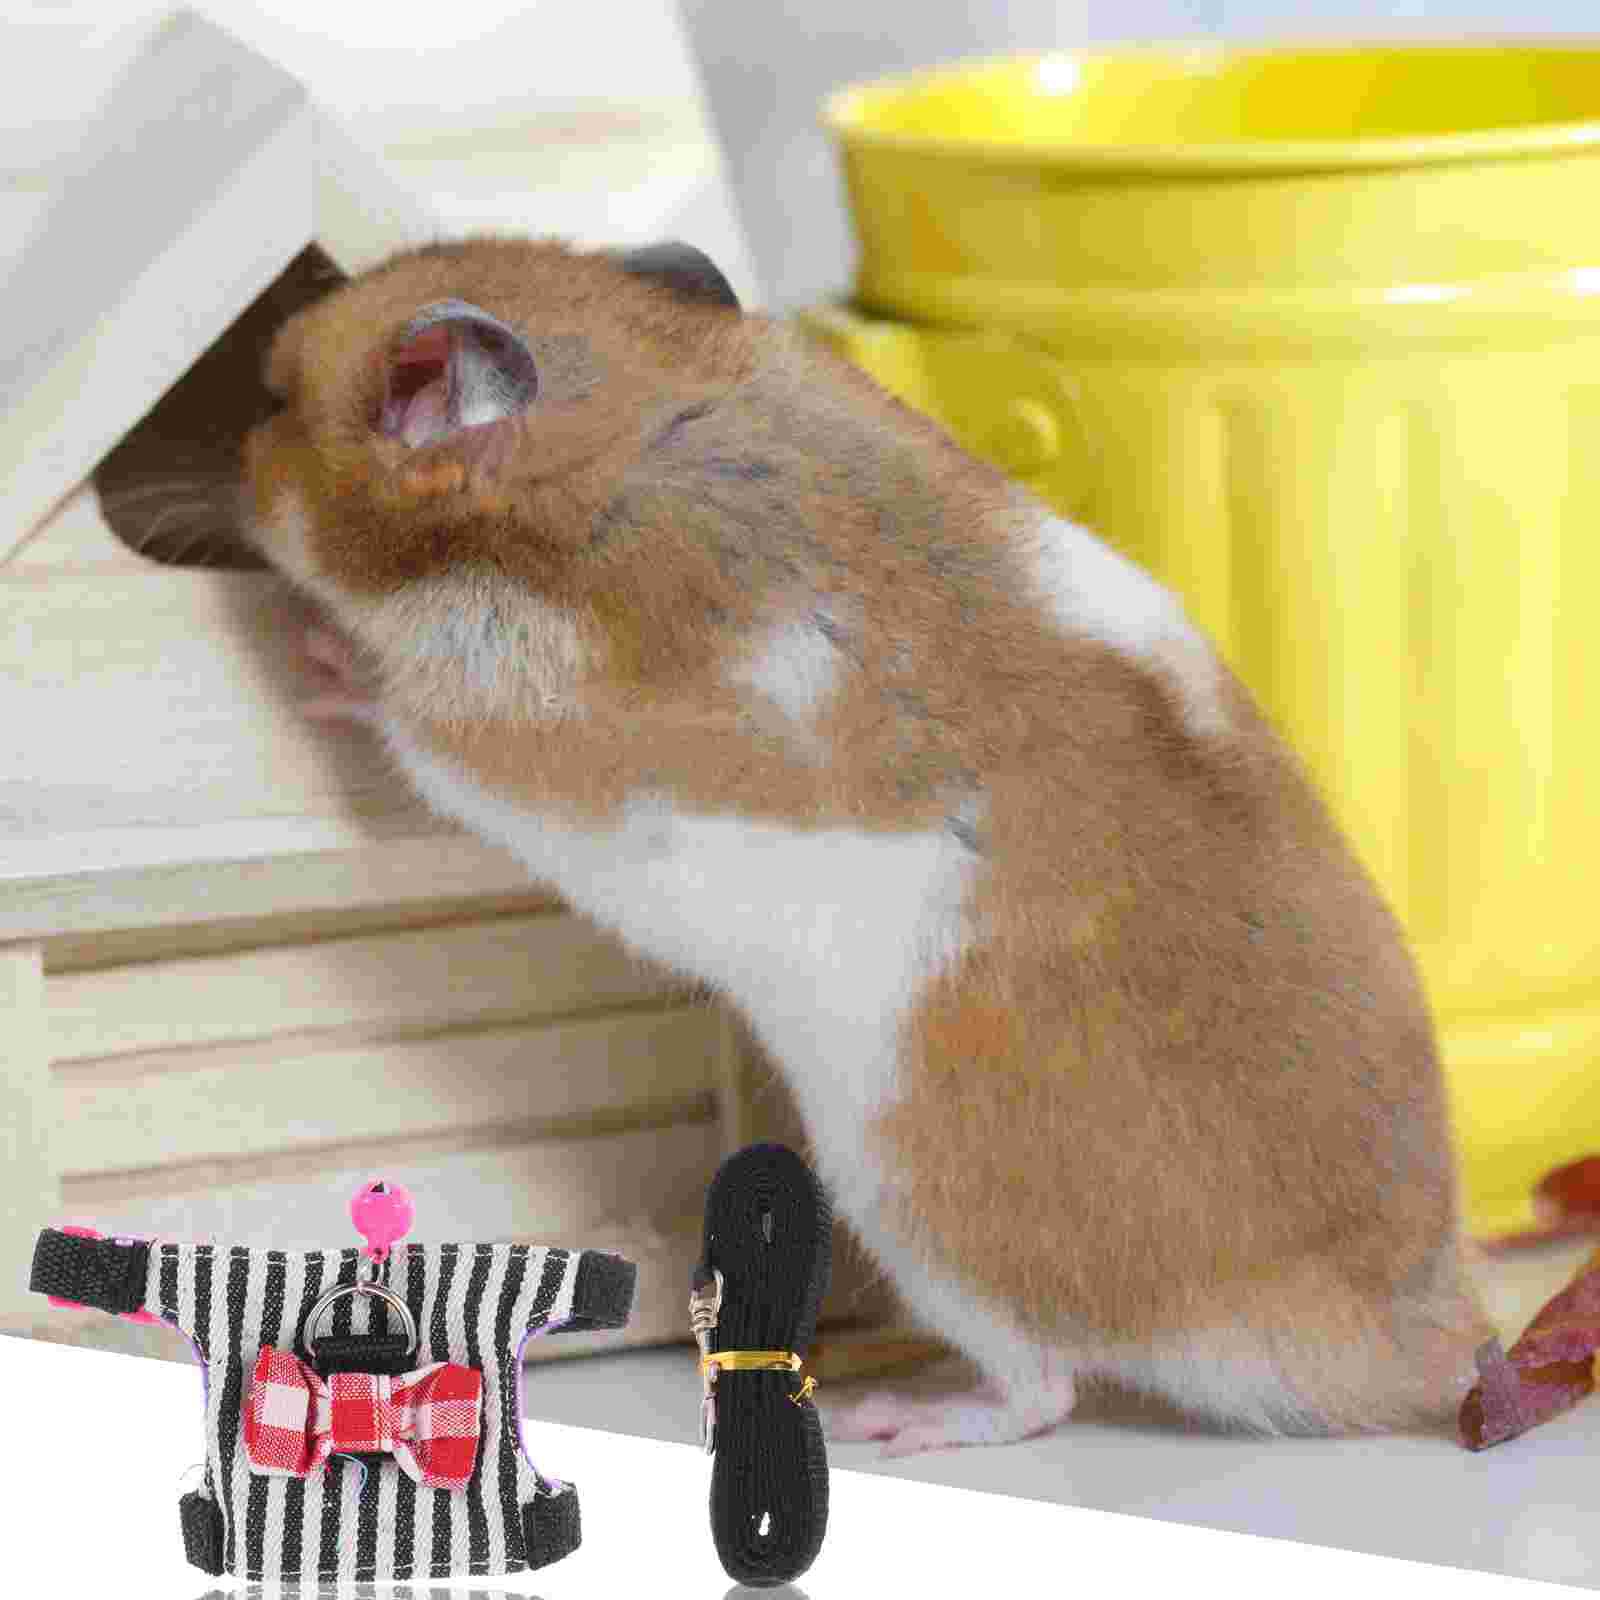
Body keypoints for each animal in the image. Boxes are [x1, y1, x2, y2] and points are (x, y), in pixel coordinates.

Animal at [242, 236, 1492, 1454]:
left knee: (1040, 1389)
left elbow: (412, 722)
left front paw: (319, 660)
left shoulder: (515, 738)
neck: (626, 419)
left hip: (915, 1210)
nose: (238, 460)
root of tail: (1411, 1345)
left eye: (279, 399)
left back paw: (885, 1413)